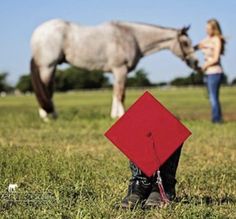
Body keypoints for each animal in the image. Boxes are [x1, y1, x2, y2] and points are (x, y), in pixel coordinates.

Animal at [30, 19, 199, 120]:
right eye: (185, 43)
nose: (196, 62)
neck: (132, 36)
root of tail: (37, 33)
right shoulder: (120, 69)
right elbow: (120, 94)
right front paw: (121, 116)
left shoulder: (116, 72)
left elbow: (115, 93)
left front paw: (114, 115)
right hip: (47, 67)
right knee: (46, 89)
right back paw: (47, 116)